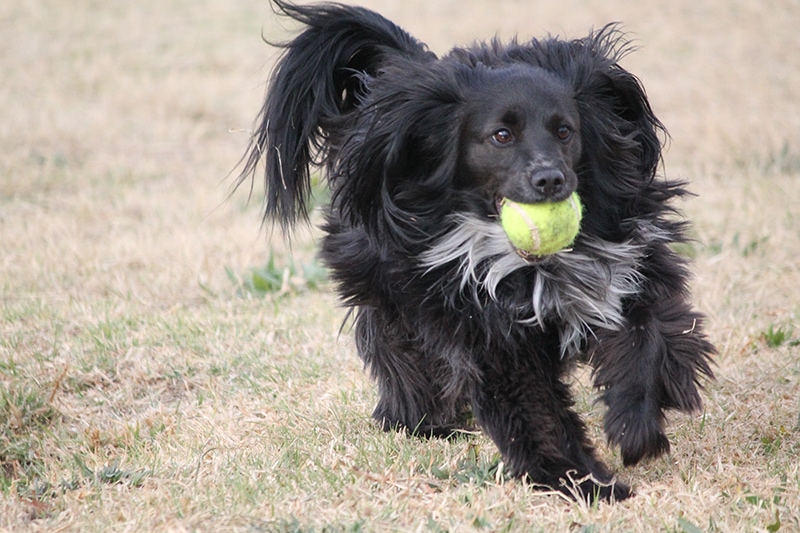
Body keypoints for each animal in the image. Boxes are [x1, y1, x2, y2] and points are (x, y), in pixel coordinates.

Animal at [234, 0, 716, 500]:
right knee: (394, 345)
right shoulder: (489, 335)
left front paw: (634, 429)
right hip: (386, 286)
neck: (527, 266)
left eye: (565, 131)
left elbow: (647, 340)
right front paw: (581, 482)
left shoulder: (629, 270)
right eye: (501, 135)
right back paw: (418, 417)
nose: (550, 179)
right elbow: (537, 414)